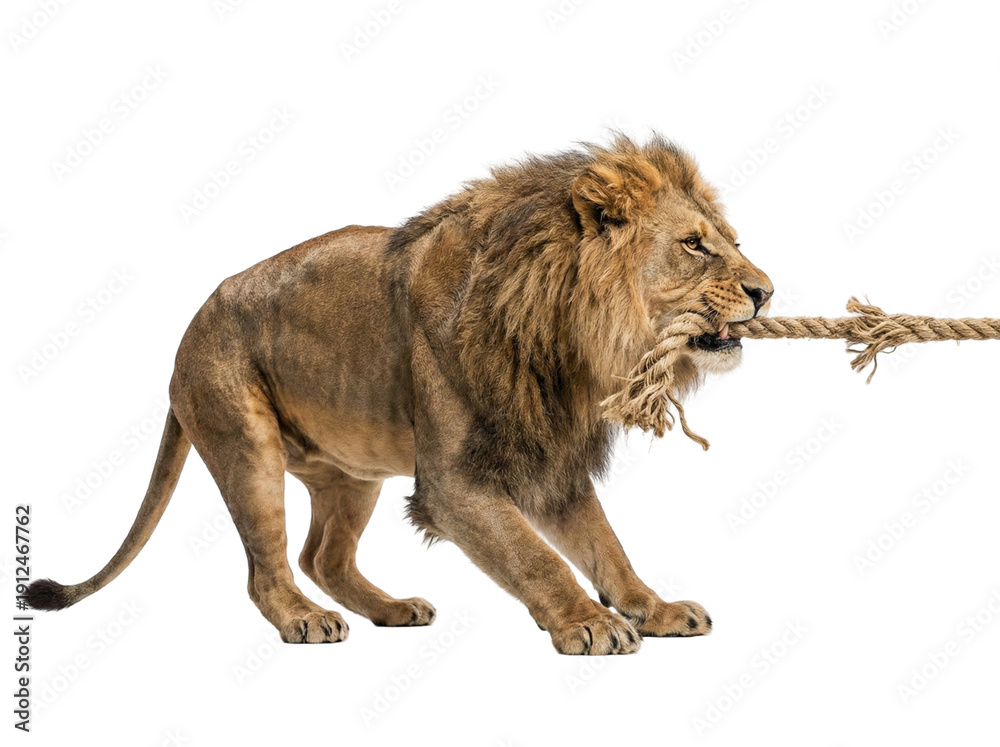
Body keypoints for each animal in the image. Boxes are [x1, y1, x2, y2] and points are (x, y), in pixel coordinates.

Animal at [28, 134, 772, 655]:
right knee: (269, 569)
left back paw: (392, 609)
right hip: (246, 444)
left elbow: (605, 546)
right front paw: (589, 624)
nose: (766, 290)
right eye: (694, 245)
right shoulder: (454, 483)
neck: (570, 342)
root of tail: (186, 333)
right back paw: (306, 619)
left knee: (322, 556)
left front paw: (656, 608)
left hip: (350, 473)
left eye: (733, 241)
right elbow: (538, 558)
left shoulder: (551, 460)